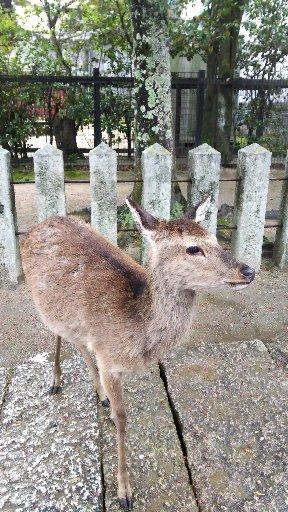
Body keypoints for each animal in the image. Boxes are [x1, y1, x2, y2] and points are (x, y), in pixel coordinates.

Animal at [22, 195, 254, 508]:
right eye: (193, 248)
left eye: (216, 239)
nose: (248, 270)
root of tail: (40, 224)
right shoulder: (109, 359)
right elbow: (123, 419)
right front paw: (124, 493)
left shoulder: (103, 351)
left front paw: (106, 403)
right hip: (41, 303)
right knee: (56, 332)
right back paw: (56, 381)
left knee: (77, 342)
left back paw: (99, 394)